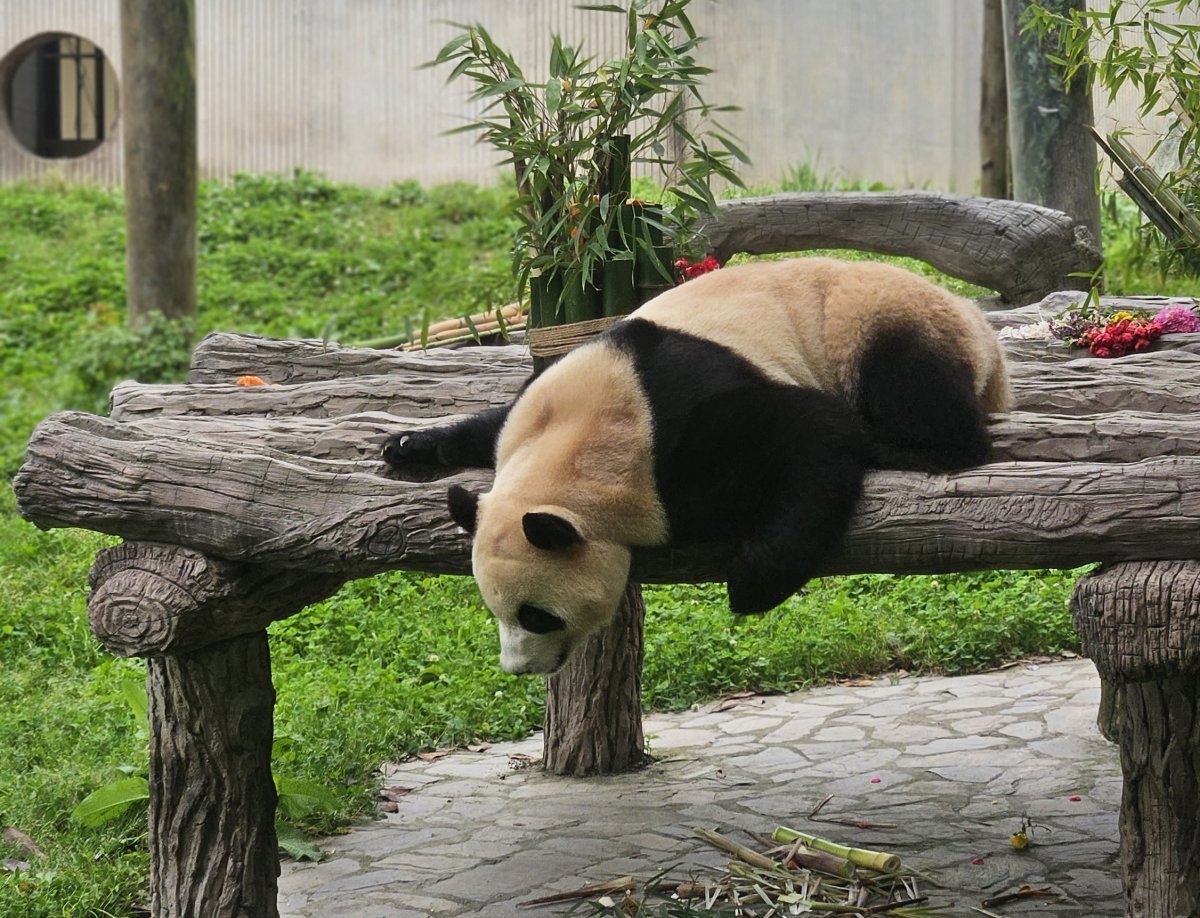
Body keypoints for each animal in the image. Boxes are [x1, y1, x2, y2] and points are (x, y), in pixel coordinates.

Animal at [379, 258, 1008, 672]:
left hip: (875, 323)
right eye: (495, 611)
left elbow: (815, 433)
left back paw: (898, 444)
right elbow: (490, 427)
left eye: (536, 616)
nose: (518, 669)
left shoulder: (683, 430)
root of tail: (979, 326)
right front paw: (408, 447)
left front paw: (750, 584)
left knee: (920, 397)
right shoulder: (543, 403)